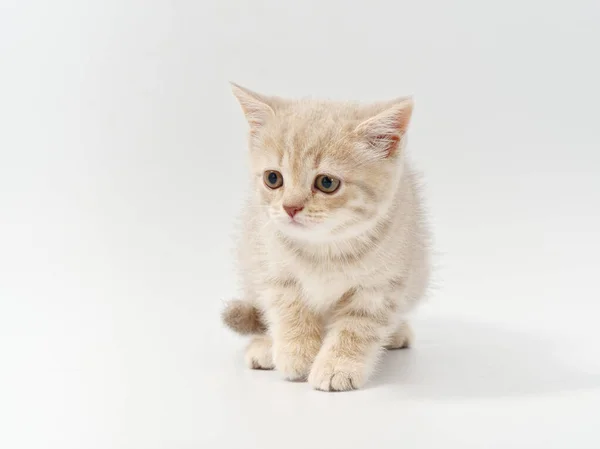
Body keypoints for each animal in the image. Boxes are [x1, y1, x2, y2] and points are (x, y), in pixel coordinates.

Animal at [223, 83, 428, 388]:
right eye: (273, 178)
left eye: (327, 183)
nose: (290, 207)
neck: (324, 248)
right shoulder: (272, 268)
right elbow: (288, 310)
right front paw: (296, 354)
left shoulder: (381, 286)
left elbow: (357, 327)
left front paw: (338, 365)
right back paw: (265, 346)